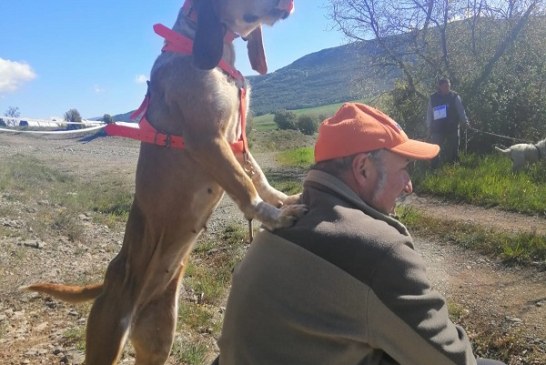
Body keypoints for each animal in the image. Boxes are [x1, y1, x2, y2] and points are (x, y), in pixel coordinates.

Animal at [25, 1, 304, 362]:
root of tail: (110, 280)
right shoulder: (207, 139)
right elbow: (244, 184)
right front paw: (275, 215)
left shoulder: (236, 141)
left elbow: (258, 177)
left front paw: (284, 200)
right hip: (107, 339)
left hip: (158, 343)